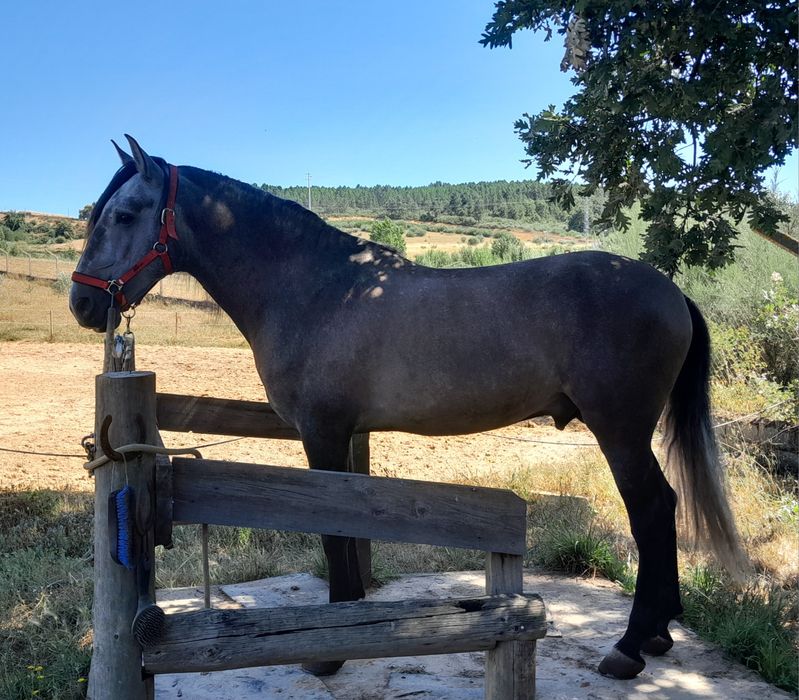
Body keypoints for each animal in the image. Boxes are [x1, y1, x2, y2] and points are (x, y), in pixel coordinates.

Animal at [70, 135, 745, 680]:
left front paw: (329, 654)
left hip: (620, 431)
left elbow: (335, 530)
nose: (82, 303)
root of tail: (671, 291)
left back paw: (630, 647)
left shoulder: (323, 431)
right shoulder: (345, 434)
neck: (318, 289)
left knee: (652, 510)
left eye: (124, 214)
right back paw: (658, 635)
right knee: (665, 508)